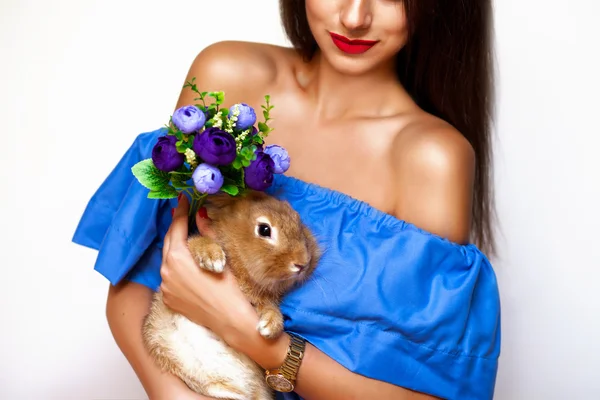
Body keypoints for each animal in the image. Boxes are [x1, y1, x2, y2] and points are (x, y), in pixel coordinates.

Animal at [144, 191, 322, 400]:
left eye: (299, 224)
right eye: (264, 229)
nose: (302, 263)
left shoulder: (261, 301)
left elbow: (270, 308)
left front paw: (270, 327)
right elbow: (196, 241)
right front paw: (213, 258)